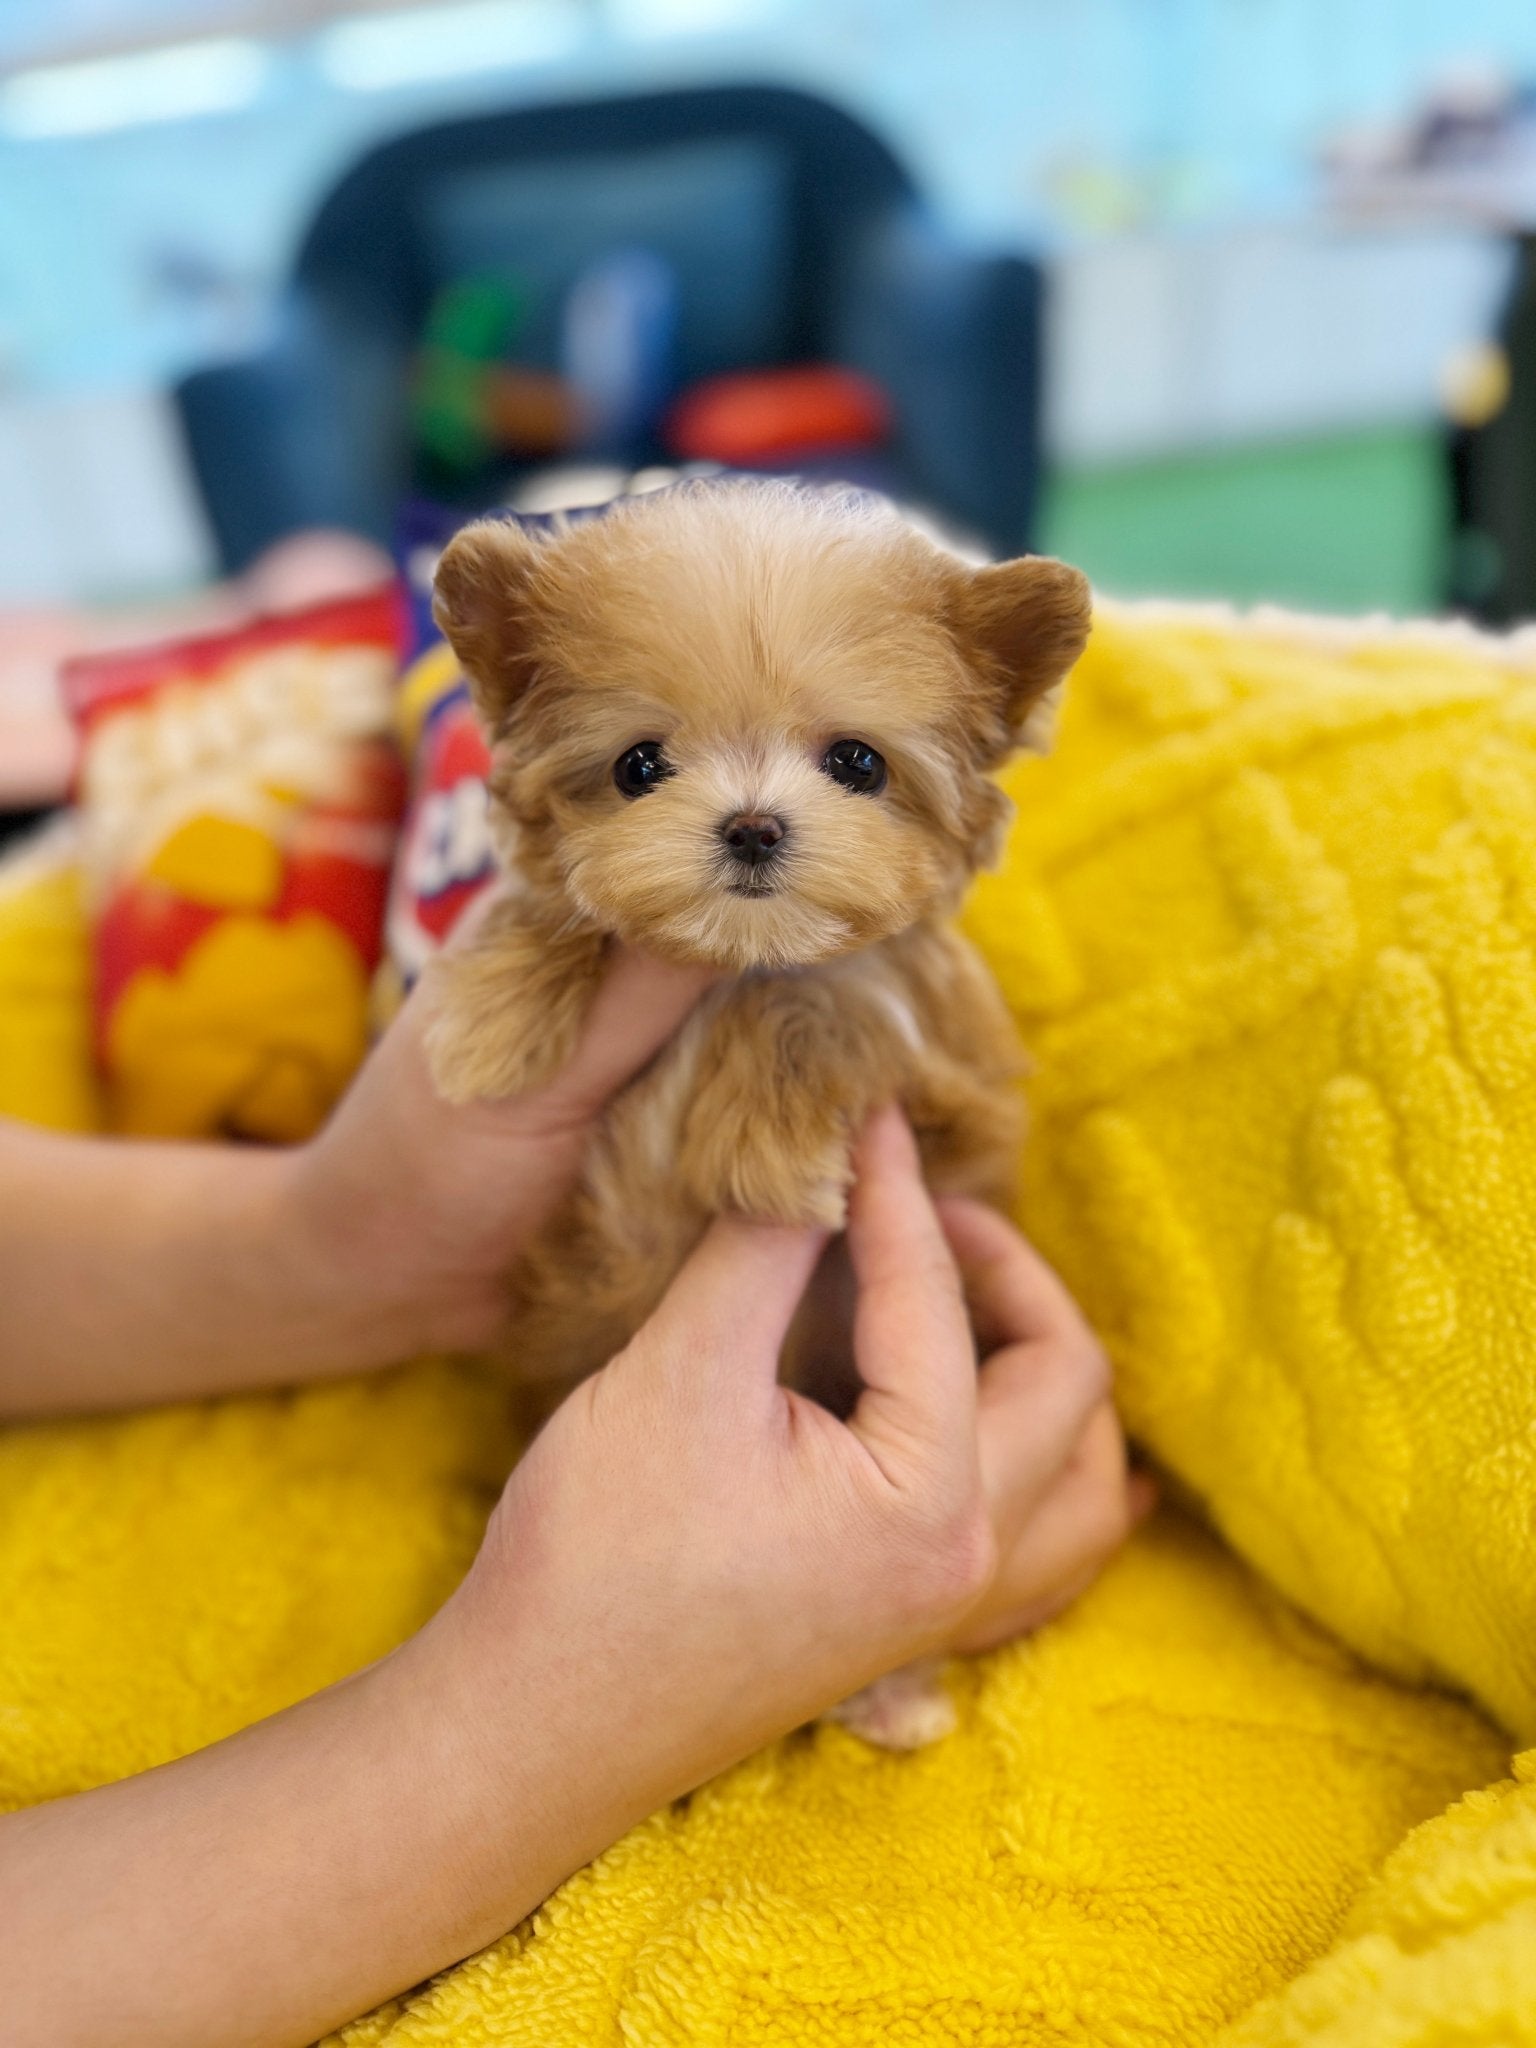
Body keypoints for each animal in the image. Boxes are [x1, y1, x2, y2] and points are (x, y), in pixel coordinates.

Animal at [428, 479, 1089, 1744]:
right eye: (640, 764)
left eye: (857, 762)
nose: (750, 825)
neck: (729, 962)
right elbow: (566, 907)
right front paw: (493, 1005)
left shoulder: (952, 1095)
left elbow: (828, 998)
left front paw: (764, 1140)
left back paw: (893, 1692)